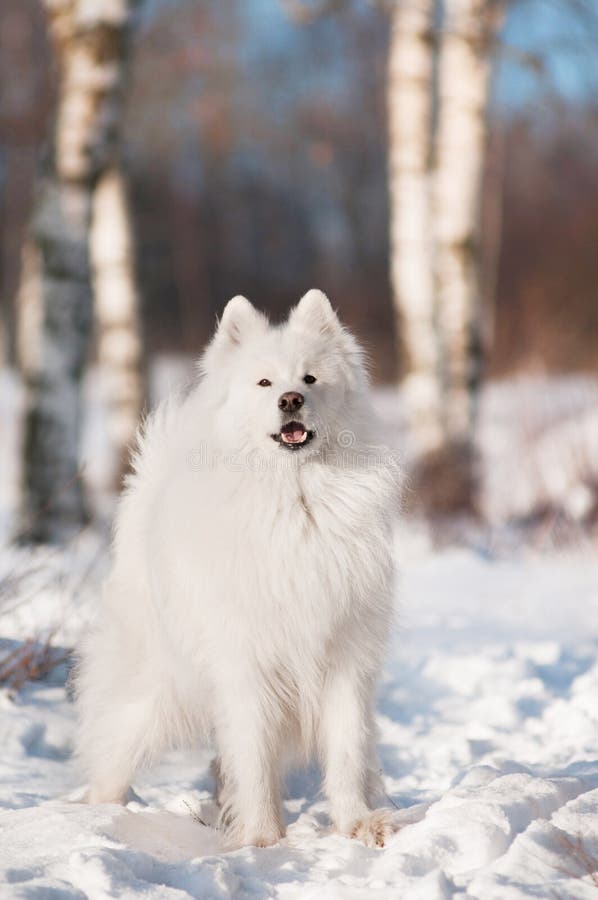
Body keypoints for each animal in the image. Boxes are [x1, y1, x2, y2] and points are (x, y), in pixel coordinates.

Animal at [76, 292, 404, 848]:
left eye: (310, 378)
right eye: (265, 383)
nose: (291, 400)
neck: (296, 499)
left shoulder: (344, 659)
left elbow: (346, 752)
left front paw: (357, 824)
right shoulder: (246, 663)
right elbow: (253, 756)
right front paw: (262, 840)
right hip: (154, 691)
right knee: (112, 754)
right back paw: (97, 820)